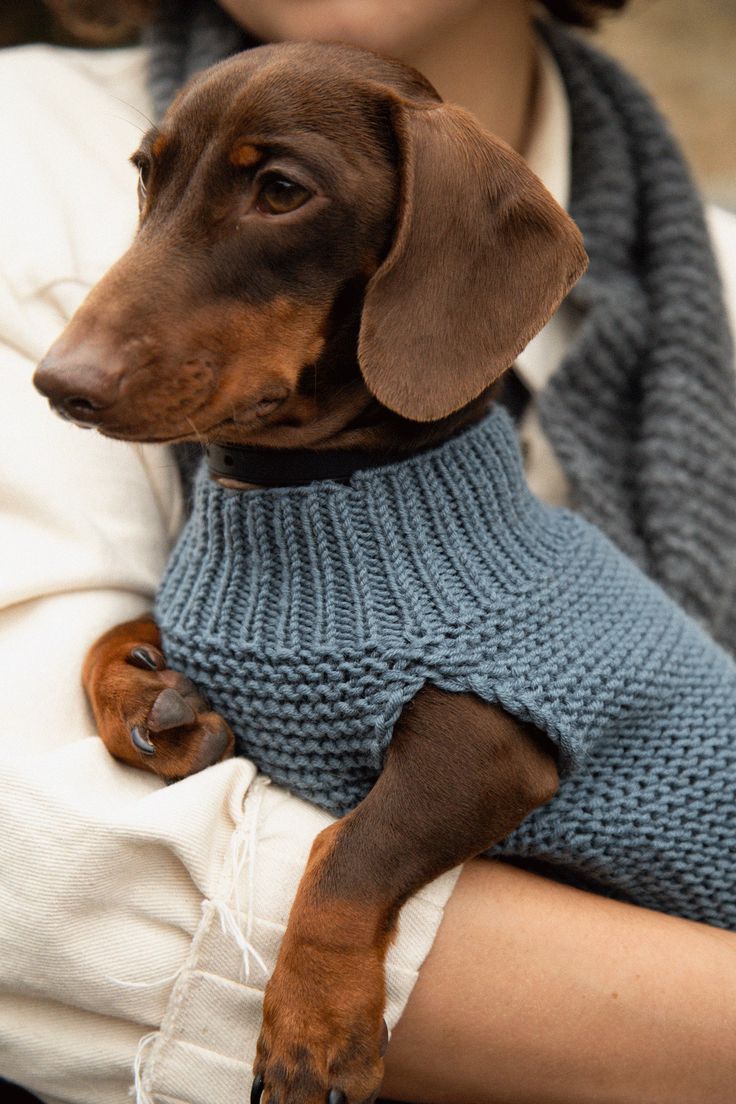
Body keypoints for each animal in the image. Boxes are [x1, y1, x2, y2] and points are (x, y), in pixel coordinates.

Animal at [34, 40, 587, 1104]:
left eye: (282, 191)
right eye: (145, 173)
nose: (56, 385)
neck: (319, 495)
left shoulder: (491, 743)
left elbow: (348, 851)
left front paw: (315, 1029)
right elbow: (109, 634)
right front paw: (146, 702)